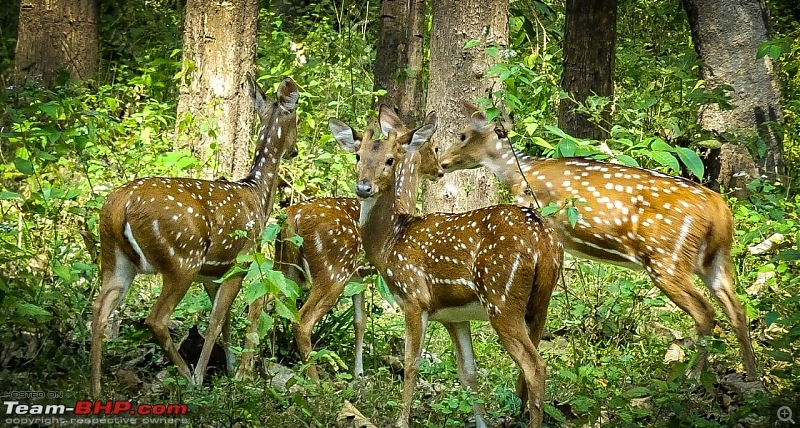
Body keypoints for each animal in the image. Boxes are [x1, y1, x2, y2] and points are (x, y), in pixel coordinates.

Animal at [88, 74, 300, 398]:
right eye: (297, 120)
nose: (294, 150)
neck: (256, 194)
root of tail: (120, 206)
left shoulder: (214, 272)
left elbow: (224, 318)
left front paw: (229, 369)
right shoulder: (240, 261)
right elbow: (215, 320)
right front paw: (215, 374)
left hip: (115, 258)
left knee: (99, 309)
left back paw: (96, 389)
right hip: (181, 258)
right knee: (156, 319)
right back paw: (189, 378)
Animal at [239, 109, 444, 378]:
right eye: (434, 146)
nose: (440, 171)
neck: (402, 205)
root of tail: (291, 218)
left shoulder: (358, 277)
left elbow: (360, 321)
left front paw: (357, 374)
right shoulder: (362, 273)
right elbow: (362, 320)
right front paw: (359, 373)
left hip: (285, 266)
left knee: (256, 302)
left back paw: (243, 371)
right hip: (332, 270)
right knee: (302, 321)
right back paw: (314, 379)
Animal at [330, 104, 564, 428]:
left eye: (390, 159)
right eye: (358, 156)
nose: (364, 187)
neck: (390, 243)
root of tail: (544, 241)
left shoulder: (414, 297)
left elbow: (411, 363)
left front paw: (401, 420)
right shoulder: (454, 315)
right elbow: (468, 372)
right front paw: (480, 423)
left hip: (501, 297)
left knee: (535, 366)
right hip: (541, 302)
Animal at [440, 103, 760, 378]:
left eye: (463, 134)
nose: (442, 162)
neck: (521, 175)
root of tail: (720, 210)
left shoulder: (546, 222)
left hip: (665, 257)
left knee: (706, 311)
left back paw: (693, 377)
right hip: (715, 259)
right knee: (737, 309)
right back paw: (753, 377)